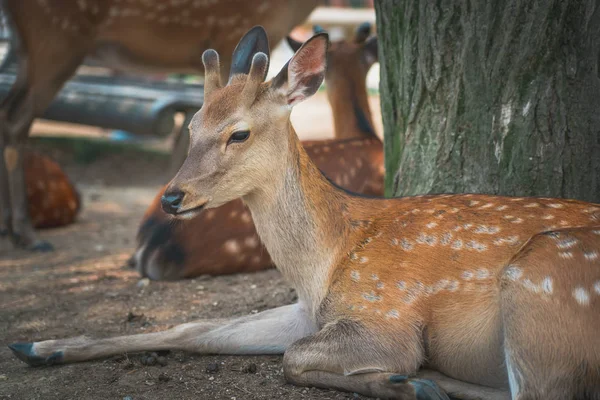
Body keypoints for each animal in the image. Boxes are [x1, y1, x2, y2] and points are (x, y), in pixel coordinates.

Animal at [0, 0, 318, 252]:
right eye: (193, 128)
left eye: (239, 134)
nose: (171, 199)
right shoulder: (227, 32)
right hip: (55, 41)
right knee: (16, 119)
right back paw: (28, 234)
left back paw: (10, 229)